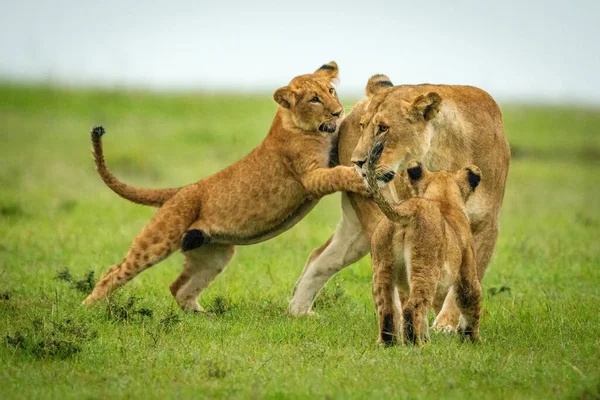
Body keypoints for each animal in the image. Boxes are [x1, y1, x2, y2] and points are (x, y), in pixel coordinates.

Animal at [288, 73, 508, 330]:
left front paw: (446, 323)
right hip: (377, 221)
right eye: (363, 126)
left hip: (356, 231)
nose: (357, 162)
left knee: (322, 257)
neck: (444, 155)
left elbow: (468, 276)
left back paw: (298, 311)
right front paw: (438, 322)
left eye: (383, 128)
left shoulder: (487, 225)